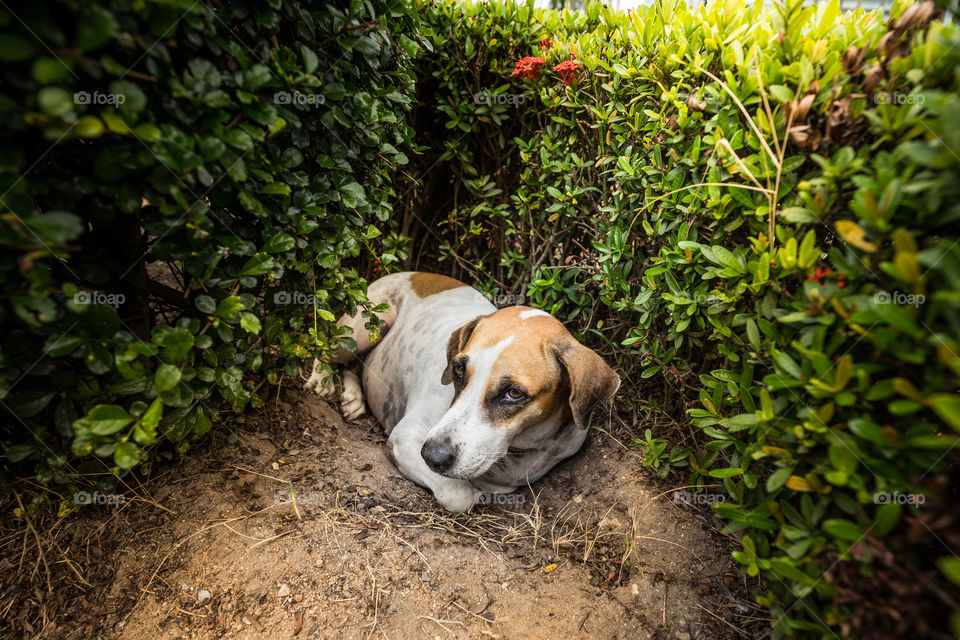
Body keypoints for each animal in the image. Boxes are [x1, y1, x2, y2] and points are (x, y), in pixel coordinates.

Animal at [306, 272, 624, 512]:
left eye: (514, 393)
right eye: (458, 370)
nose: (432, 455)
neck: (520, 447)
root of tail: (412, 271)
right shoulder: (406, 438)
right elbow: (460, 496)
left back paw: (353, 397)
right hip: (364, 325)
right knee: (326, 348)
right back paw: (321, 379)